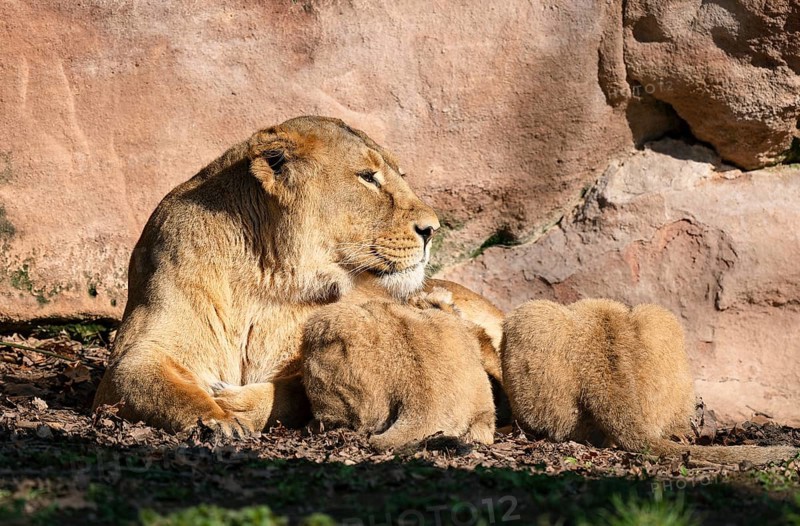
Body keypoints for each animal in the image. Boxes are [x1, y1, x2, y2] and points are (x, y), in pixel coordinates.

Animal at [93, 116, 444, 436]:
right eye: (368, 177)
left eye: (401, 175)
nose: (432, 229)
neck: (264, 275)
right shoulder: (140, 352)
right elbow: (162, 385)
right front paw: (216, 421)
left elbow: (295, 391)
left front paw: (233, 403)